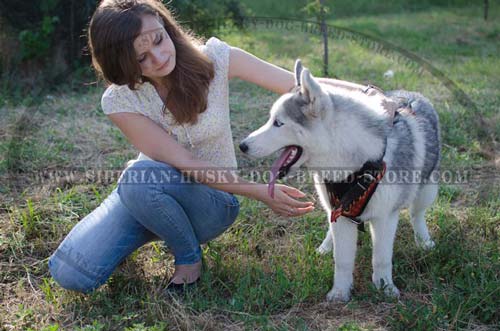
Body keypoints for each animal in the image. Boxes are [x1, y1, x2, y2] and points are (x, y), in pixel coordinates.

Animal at [240, 59, 440, 304]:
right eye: (271, 120)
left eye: (278, 123)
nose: (243, 145)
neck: (353, 165)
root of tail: (411, 94)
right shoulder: (341, 214)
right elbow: (342, 259)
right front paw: (340, 292)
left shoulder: (385, 217)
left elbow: (381, 258)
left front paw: (385, 288)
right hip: (331, 203)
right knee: (331, 223)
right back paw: (326, 246)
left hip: (427, 189)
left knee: (416, 213)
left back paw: (423, 241)